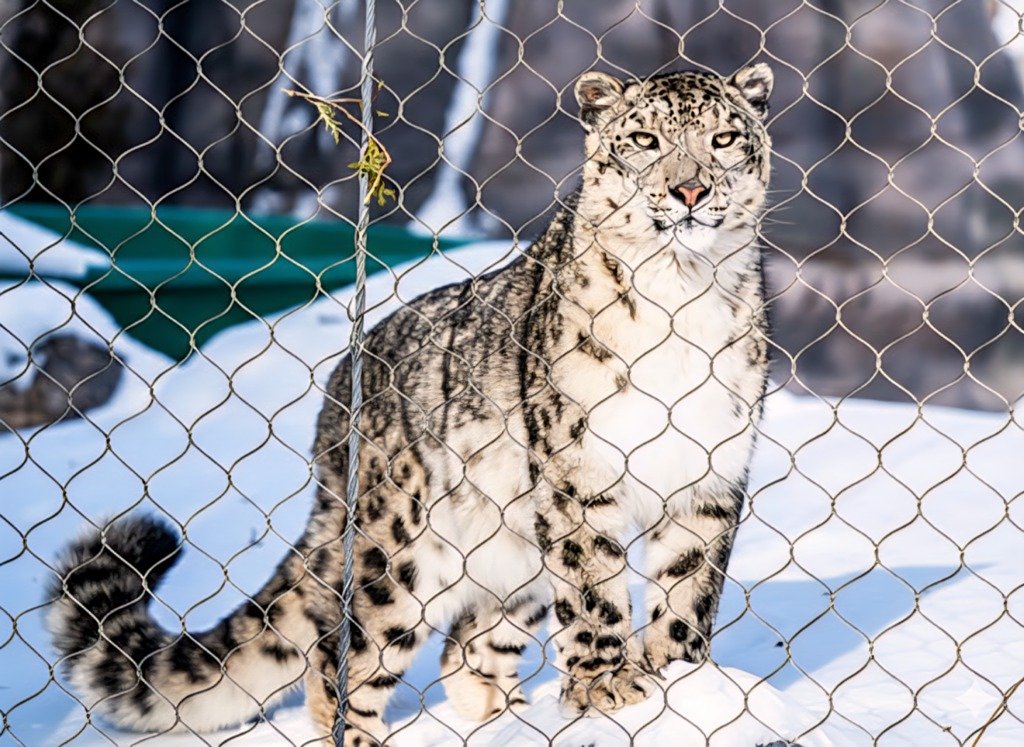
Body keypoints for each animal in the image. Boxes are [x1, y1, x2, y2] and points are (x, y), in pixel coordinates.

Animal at [48, 63, 774, 745]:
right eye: (645, 140)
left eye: (724, 138)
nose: (689, 191)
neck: (683, 295)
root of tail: (338, 398)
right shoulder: (577, 474)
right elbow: (594, 588)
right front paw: (610, 687)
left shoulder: (709, 473)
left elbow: (688, 589)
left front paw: (679, 681)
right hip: (397, 551)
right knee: (339, 660)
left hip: (510, 550)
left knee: (467, 649)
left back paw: (508, 723)